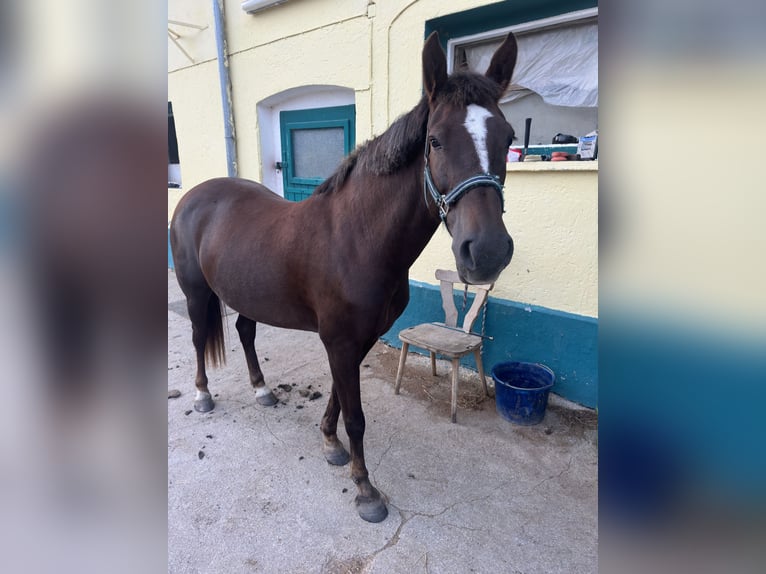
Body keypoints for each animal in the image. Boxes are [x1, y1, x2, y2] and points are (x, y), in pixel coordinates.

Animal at [170, 32, 520, 528]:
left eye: (509, 138)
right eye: (435, 141)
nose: (487, 251)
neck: (357, 237)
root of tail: (194, 196)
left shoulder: (360, 337)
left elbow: (339, 394)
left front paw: (330, 443)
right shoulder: (339, 338)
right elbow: (356, 415)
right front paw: (364, 488)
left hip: (246, 293)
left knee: (244, 331)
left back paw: (262, 390)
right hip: (196, 292)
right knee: (201, 336)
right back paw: (202, 395)